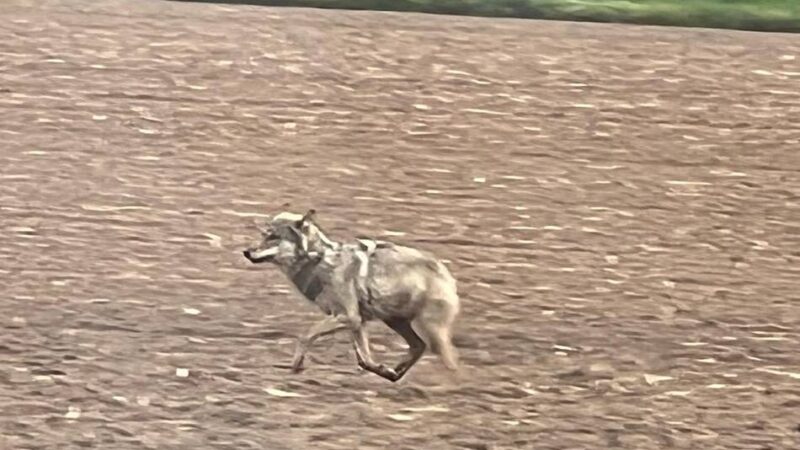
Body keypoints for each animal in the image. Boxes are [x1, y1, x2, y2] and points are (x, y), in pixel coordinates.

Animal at [242, 209, 460, 382]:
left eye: (273, 237)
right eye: (262, 235)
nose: (246, 252)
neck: (320, 260)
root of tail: (444, 270)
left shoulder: (349, 317)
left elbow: (306, 336)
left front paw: (295, 368)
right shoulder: (356, 322)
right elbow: (364, 360)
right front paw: (384, 370)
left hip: (429, 330)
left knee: (450, 362)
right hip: (395, 321)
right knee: (418, 346)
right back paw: (397, 373)